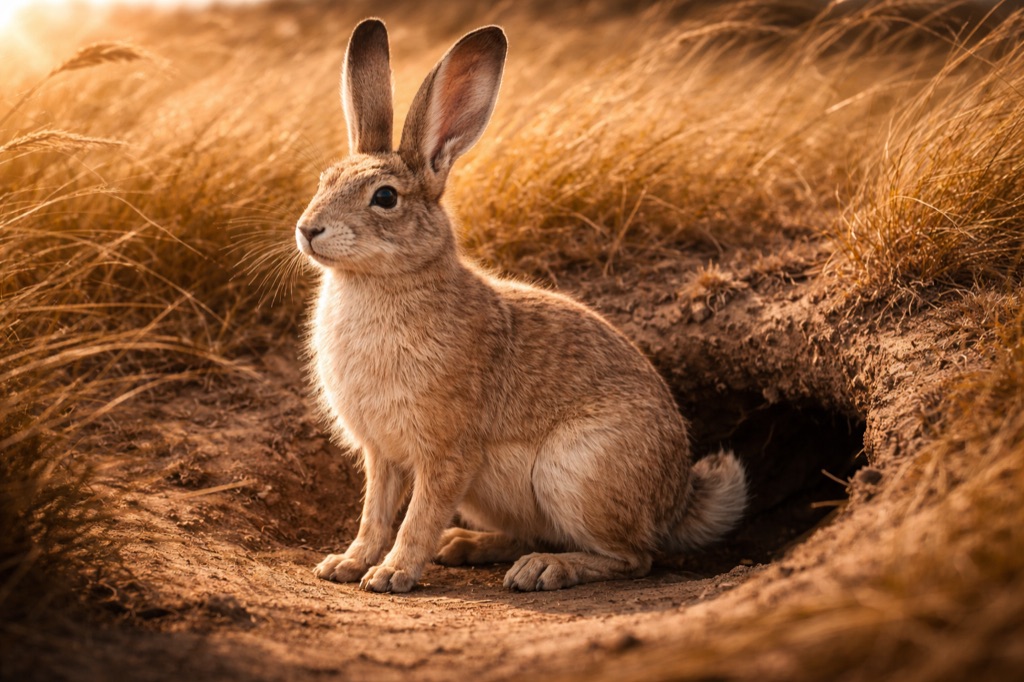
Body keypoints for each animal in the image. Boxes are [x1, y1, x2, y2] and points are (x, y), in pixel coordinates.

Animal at [295, 18, 748, 594]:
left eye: (386, 197)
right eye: (325, 179)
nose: (308, 230)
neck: (379, 284)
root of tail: (675, 501)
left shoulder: (447, 453)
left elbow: (418, 516)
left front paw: (391, 574)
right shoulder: (383, 455)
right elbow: (374, 514)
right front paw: (346, 565)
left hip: (574, 473)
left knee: (634, 557)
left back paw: (543, 569)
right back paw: (464, 546)